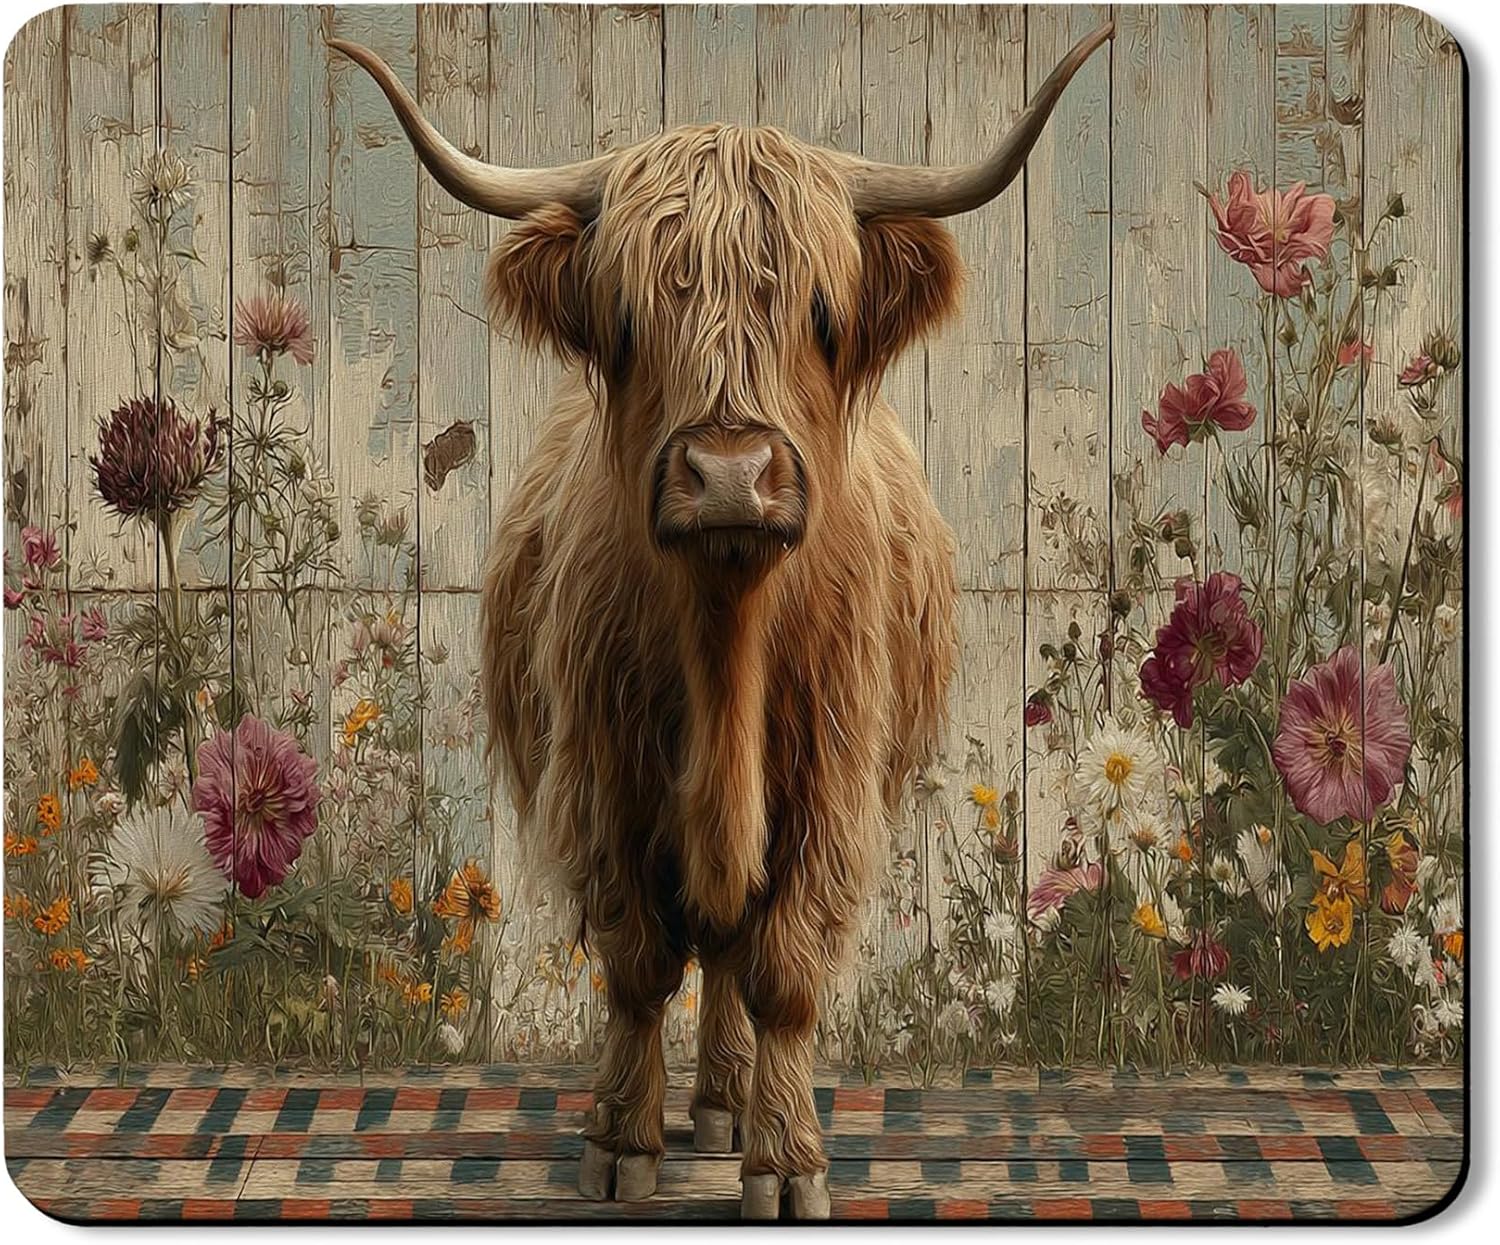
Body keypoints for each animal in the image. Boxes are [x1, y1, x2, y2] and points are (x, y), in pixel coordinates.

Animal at [332, 21, 1113, 1219]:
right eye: (625, 320)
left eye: (823, 317)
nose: (732, 474)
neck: (726, 642)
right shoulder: (603, 774)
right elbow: (639, 966)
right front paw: (621, 1140)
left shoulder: (833, 782)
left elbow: (783, 968)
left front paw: (785, 1159)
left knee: (740, 959)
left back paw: (736, 1106)